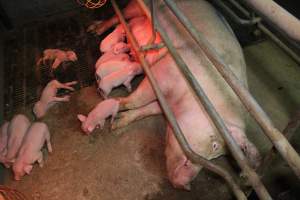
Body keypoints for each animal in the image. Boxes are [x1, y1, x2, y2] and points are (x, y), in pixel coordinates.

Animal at [88, 0, 260, 190]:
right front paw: (116, 107)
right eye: (214, 145)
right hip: (139, 6)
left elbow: (147, 109)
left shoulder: (165, 102)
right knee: (121, 14)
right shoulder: (164, 73)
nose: (186, 185)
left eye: (217, 158)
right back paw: (94, 30)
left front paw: (118, 122)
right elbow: (138, 99)